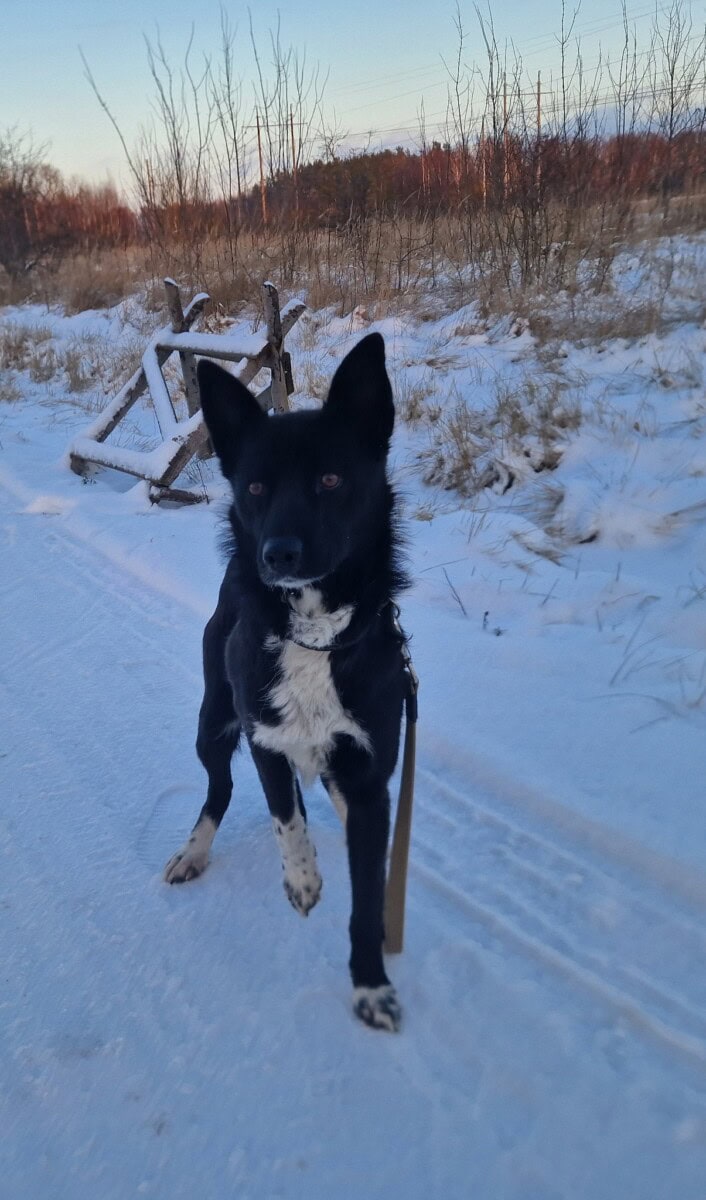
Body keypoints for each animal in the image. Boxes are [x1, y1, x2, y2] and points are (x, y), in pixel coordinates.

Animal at [164, 332, 409, 1031]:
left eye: (330, 478)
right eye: (254, 486)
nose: (278, 555)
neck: (315, 632)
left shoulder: (371, 770)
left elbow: (367, 888)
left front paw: (370, 984)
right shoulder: (265, 738)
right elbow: (284, 814)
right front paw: (303, 881)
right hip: (212, 723)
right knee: (218, 789)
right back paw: (194, 851)